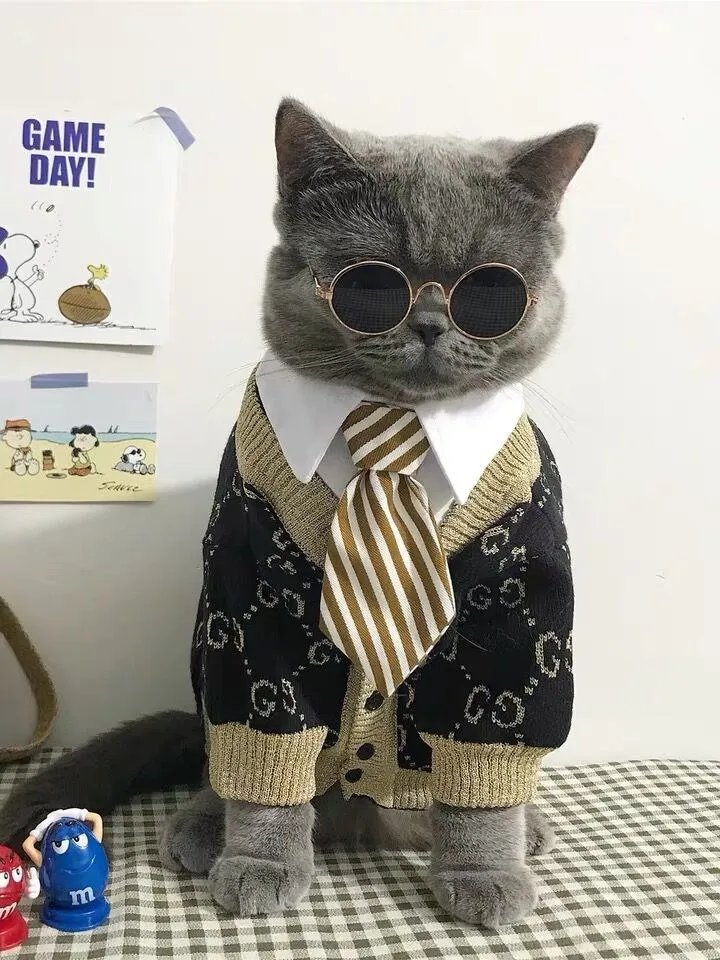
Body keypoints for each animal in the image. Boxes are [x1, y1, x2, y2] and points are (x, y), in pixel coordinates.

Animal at [0, 99, 595, 929]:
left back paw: (514, 828)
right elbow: (266, 750)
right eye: (371, 284)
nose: (432, 321)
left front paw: (484, 872)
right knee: (221, 760)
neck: (393, 424)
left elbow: (485, 764)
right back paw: (204, 826)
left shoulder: (517, 607)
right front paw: (259, 862)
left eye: (490, 290)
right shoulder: (254, 597)